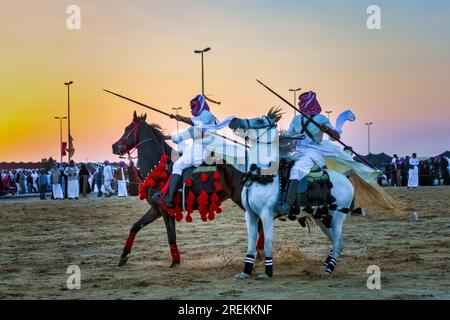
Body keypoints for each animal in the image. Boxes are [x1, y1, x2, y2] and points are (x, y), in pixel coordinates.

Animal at [112, 112, 253, 268]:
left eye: (127, 128)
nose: (114, 146)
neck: (159, 168)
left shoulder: (165, 210)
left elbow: (171, 237)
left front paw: (175, 261)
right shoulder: (156, 210)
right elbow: (135, 226)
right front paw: (123, 257)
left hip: (241, 199)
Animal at [230, 109, 356, 278]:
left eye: (259, 121)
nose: (234, 120)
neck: (260, 175)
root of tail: (346, 178)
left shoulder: (266, 214)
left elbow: (268, 244)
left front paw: (267, 273)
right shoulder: (250, 214)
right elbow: (250, 245)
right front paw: (245, 272)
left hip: (338, 217)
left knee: (337, 243)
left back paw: (328, 270)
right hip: (323, 218)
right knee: (339, 243)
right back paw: (326, 265)